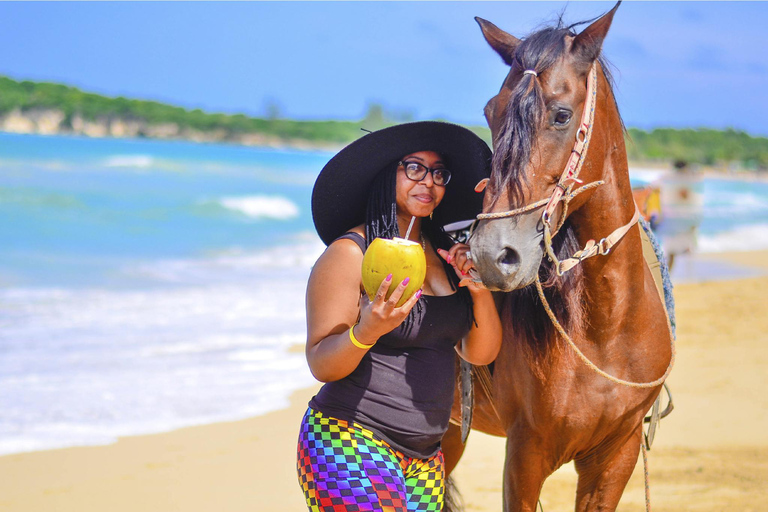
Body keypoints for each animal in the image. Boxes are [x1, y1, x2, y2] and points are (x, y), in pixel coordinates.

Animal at [444, 5, 672, 512]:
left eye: (562, 115)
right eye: (490, 112)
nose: (490, 255)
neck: (607, 331)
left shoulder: (616, 455)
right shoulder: (525, 455)